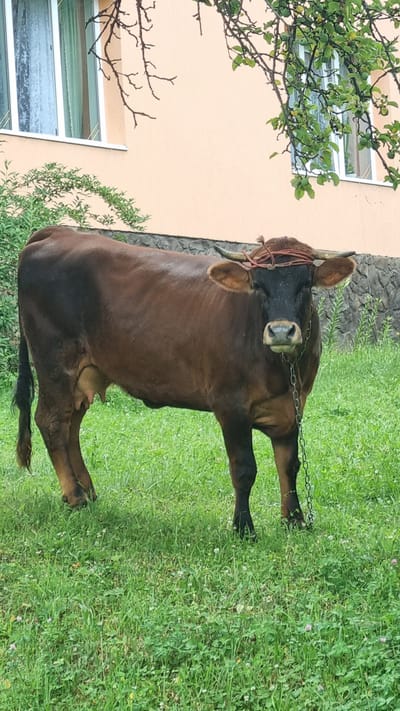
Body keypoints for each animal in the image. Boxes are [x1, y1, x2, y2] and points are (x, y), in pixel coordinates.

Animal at [13, 226, 355, 538]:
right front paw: (243, 527)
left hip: (84, 374)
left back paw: (86, 490)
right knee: (52, 422)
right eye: (258, 285)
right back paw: (75, 496)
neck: (282, 370)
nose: (281, 331)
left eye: (305, 284)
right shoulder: (230, 405)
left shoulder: (293, 405)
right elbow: (244, 468)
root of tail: (60, 232)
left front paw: (294, 520)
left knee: (71, 426)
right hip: (55, 363)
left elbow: (289, 464)